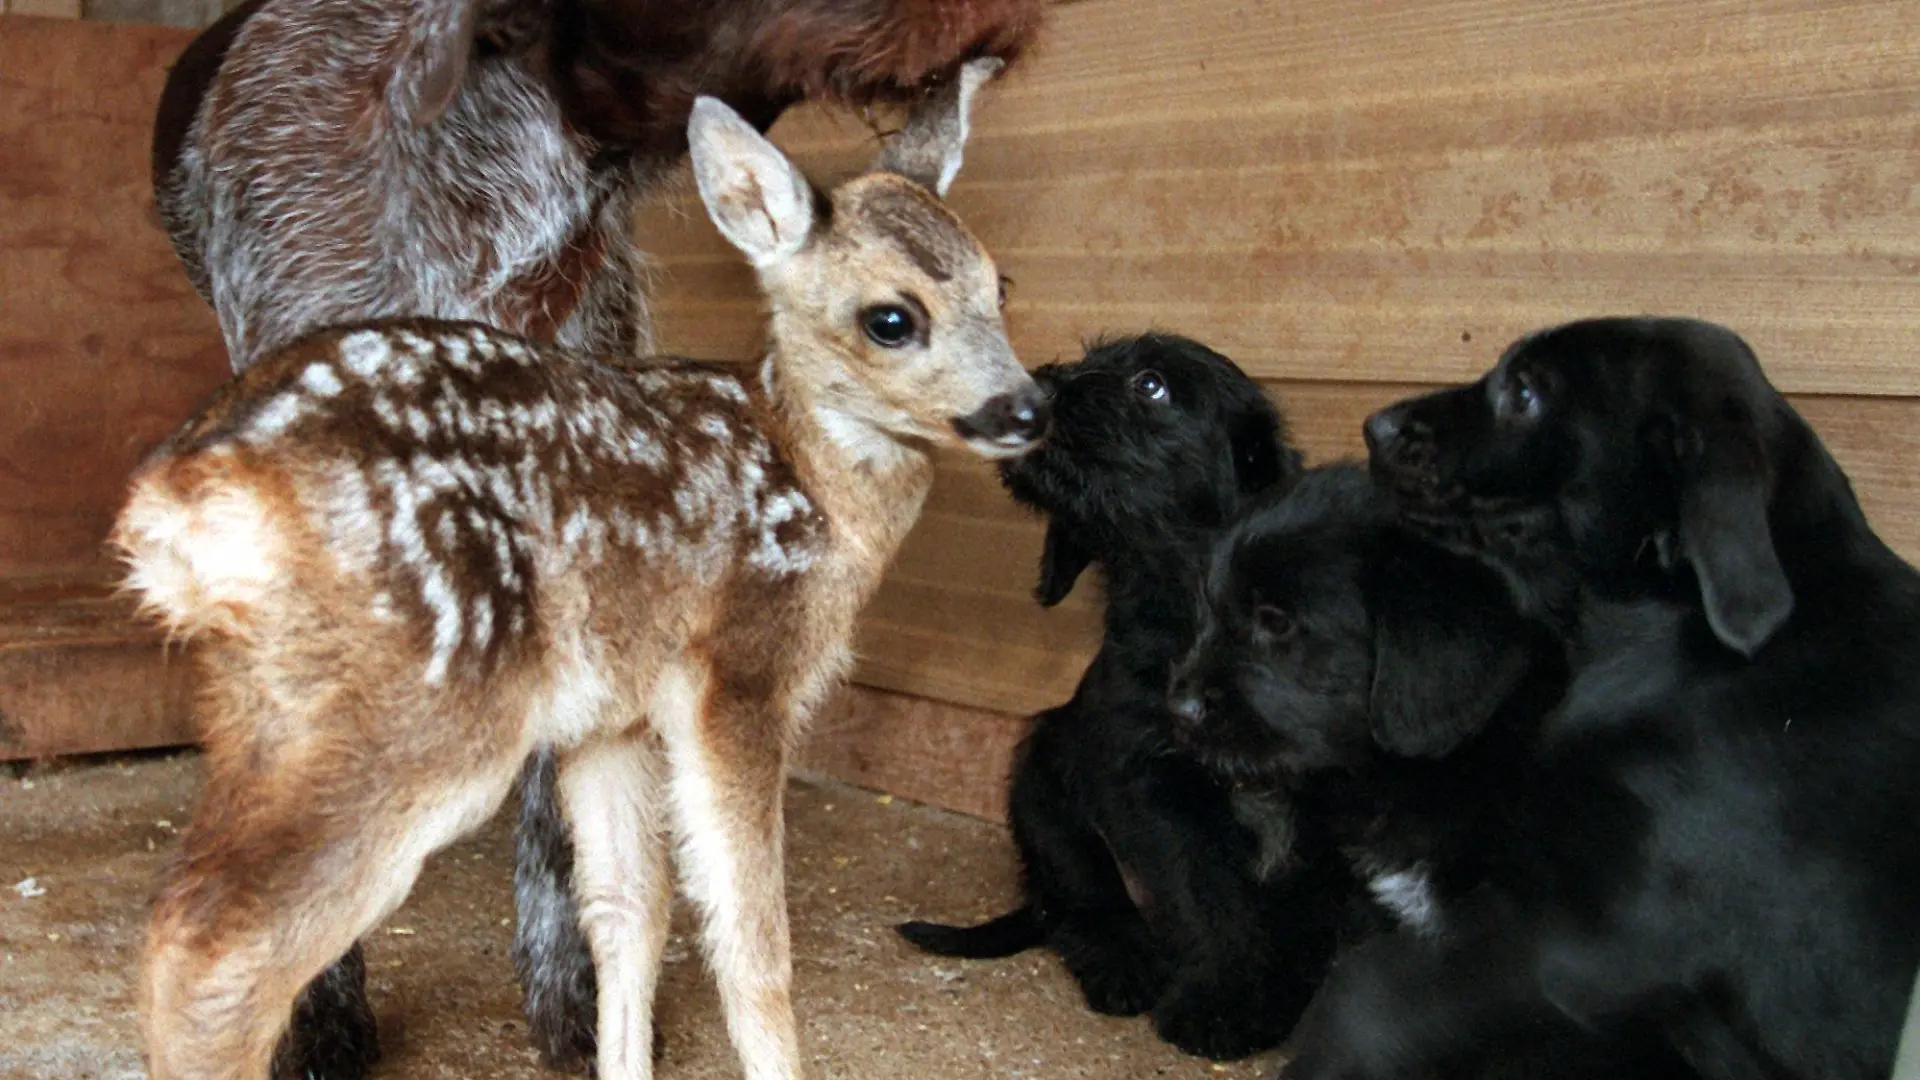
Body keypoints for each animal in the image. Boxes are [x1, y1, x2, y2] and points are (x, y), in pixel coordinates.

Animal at [115, 58, 1042, 1080]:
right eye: (891, 319)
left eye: (1000, 286)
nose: (1027, 409)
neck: (812, 479)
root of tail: (181, 498)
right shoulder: (736, 678)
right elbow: (751, 942)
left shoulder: (612, 719)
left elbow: (627, 913)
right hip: (416, 712)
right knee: (218, 950)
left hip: (264, 707)